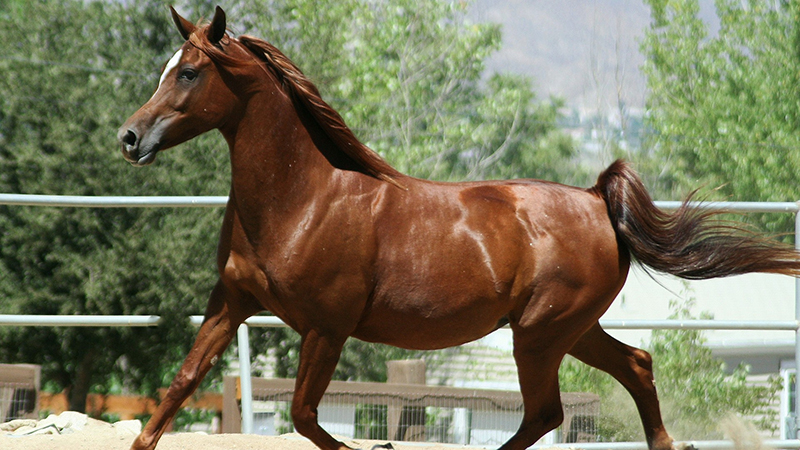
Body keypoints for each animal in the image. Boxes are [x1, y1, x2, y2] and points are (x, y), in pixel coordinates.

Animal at [117, 6, 800, 450]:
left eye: (189, 73)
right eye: (166, 69)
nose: (129, 137)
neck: (304, 199)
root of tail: (595, 200)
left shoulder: (327, 327)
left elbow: (306, 416)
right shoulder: (231, 302)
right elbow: (179, 388)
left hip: (540, 335)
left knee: (546, 413)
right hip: (569, 330)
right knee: (635, 366)